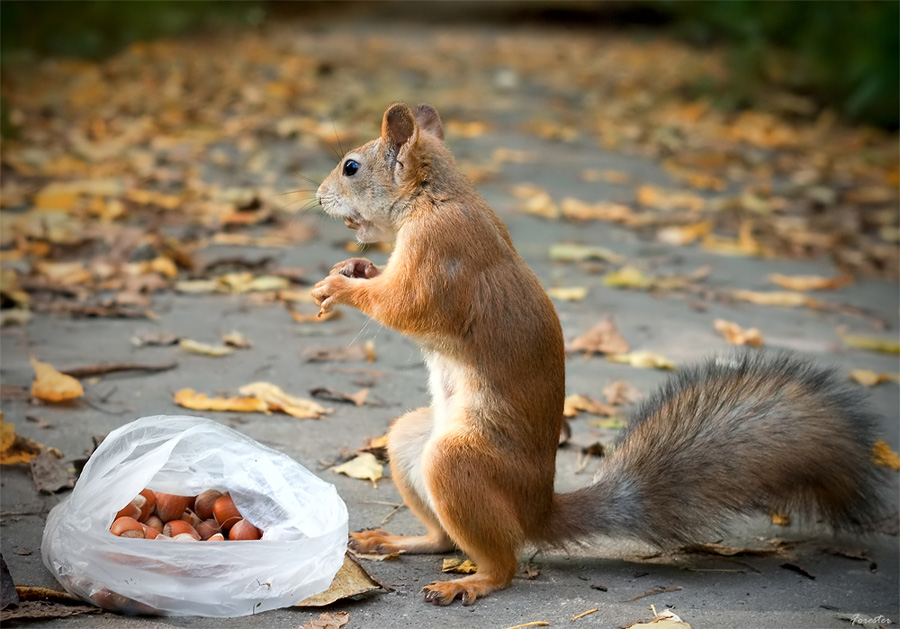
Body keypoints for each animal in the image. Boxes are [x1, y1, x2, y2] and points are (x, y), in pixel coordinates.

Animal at [312, 102, 888, 604]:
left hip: (457, 463)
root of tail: (537, 510)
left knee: (503, 563)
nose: (317, 197)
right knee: (444, 540)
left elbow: (405, 304)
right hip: (410, 441)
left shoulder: (441, 253)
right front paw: (354, 269)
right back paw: (398, 541)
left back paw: (472, 583)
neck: (435, 197)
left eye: (350, 166)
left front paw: (339, 287)